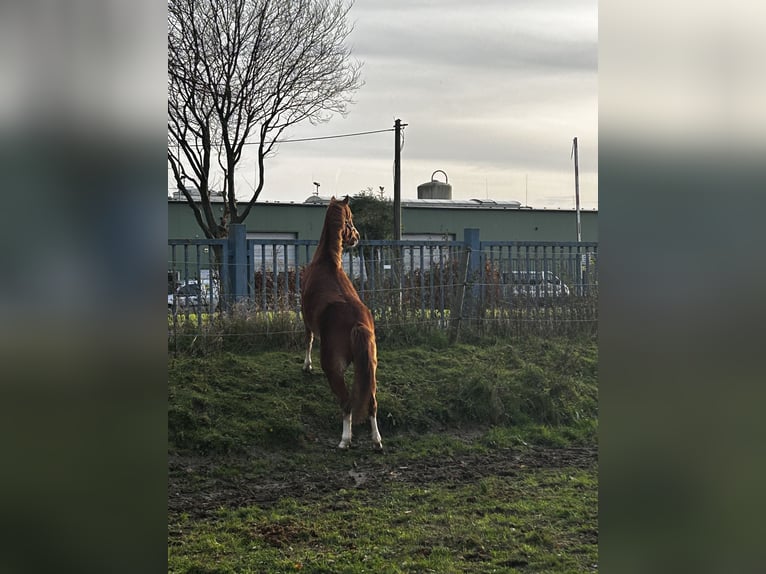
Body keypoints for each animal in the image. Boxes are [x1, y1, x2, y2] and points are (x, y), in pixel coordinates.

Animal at [300, 196, 384, 452]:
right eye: (351, 219)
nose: (356, 236)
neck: (327, 262)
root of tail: (357, 323)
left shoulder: (305, 319)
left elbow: (308, 340)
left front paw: (306, 366)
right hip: (370, 367)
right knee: (372, 403)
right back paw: (376, 440)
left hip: (333, 368)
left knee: (346, 403)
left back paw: (345, 440)